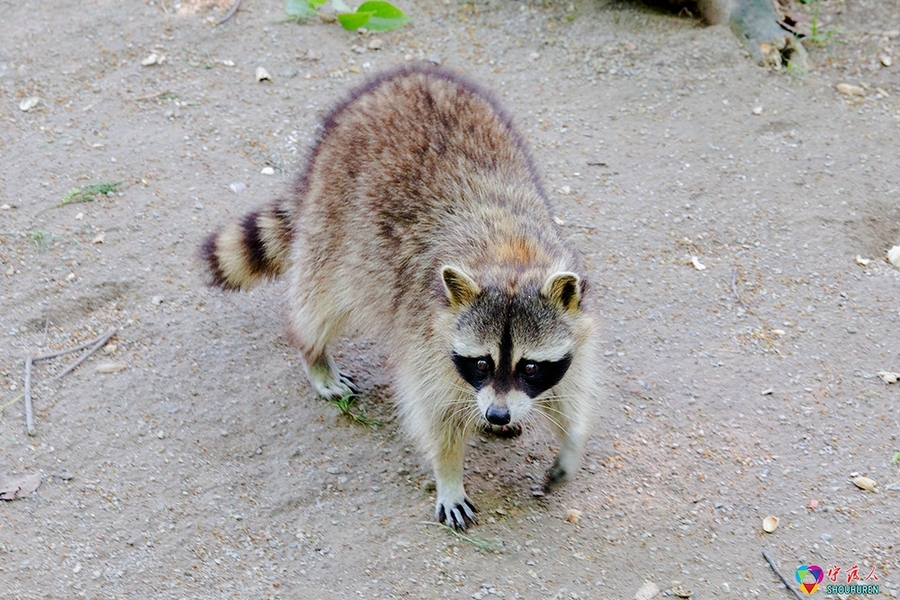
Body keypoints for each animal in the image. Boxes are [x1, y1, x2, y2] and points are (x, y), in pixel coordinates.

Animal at [200, 64, 600, 528]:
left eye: (531, 367)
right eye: (482, 362)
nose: (497, 413)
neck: (508, 257)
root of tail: (407, 75)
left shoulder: (577, 321)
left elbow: (571, 392)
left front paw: (571, 443)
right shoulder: (426, 333)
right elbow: (435, 412)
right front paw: (449, 473)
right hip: (335, 220)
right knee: (319, 301)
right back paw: (314, 353)